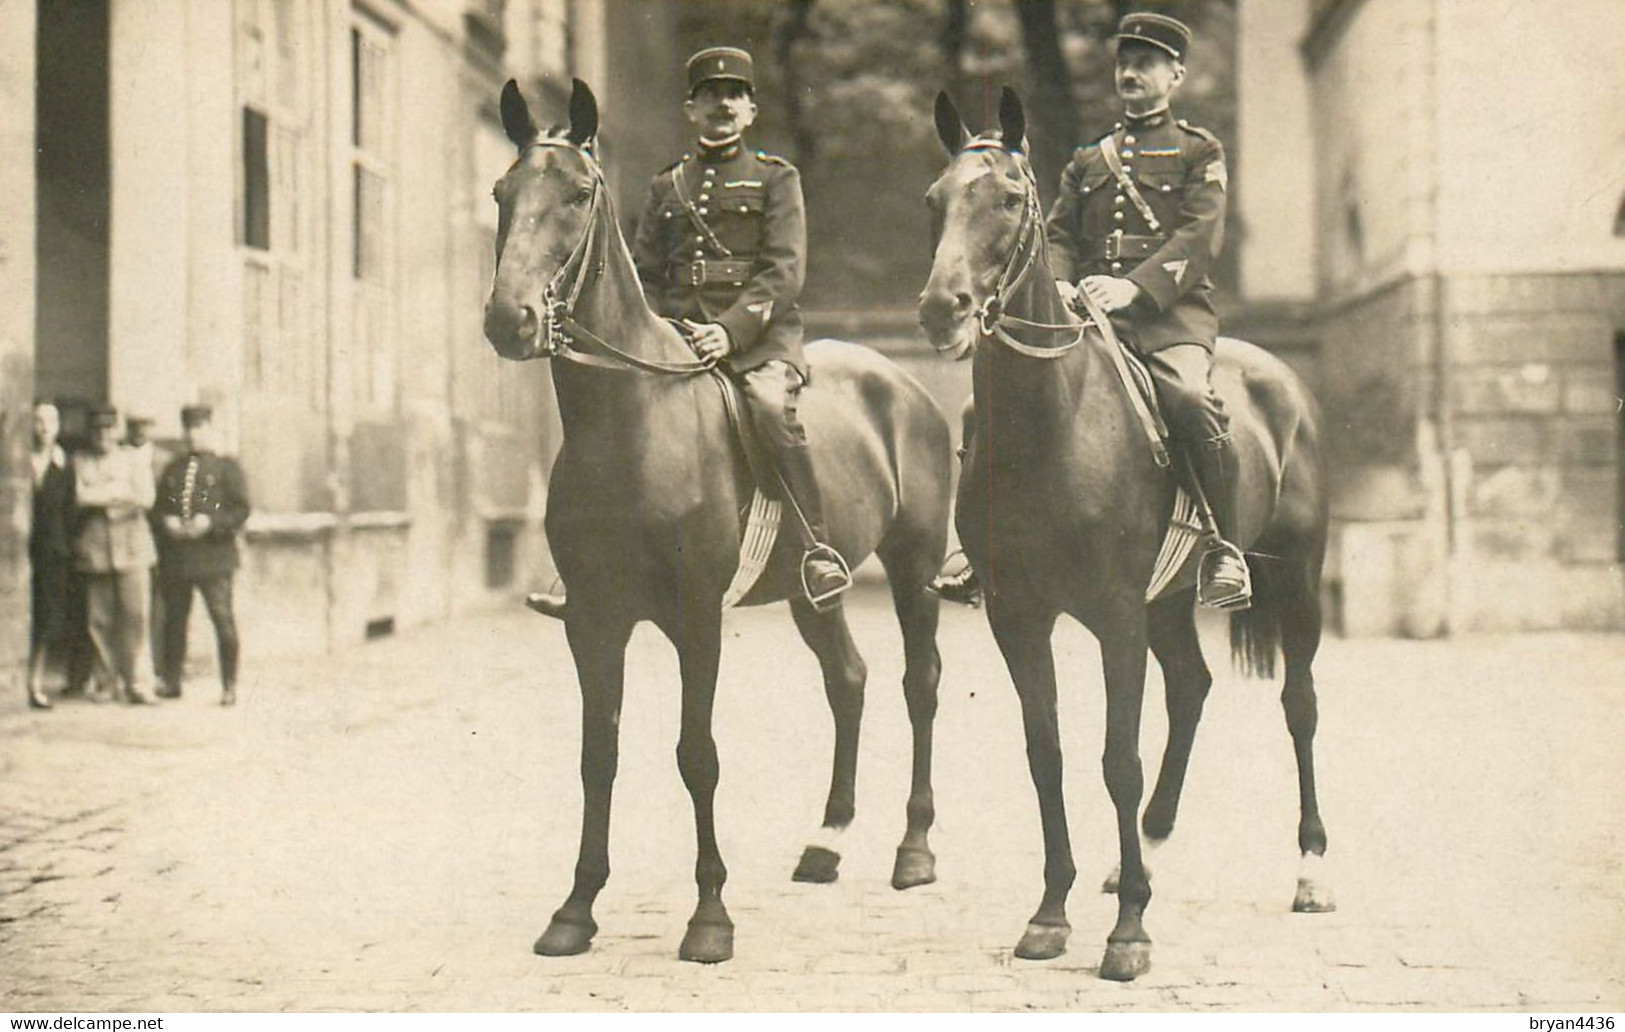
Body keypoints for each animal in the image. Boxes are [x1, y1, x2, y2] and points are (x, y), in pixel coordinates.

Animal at [474, 78, 949, 962]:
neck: (627, 421)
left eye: (579, 193)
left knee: (920, 683)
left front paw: (709, 917)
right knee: (848, 678)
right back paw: (826, 842)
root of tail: (903, 383)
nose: (508, 319)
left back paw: (913, 850)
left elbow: (696, 755)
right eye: (501, 193)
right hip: (810, 593)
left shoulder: (694, 616)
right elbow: (599, 755)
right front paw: (575, 909)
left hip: (916, 567)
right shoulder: (591, 621)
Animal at [916, 86, 1332, 975]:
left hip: (1296, 581)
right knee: (1192, 688)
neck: (1053, 422)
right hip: (1167, 602)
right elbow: (1046, 755)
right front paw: (1050, 912)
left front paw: (1129, 932)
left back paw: (1310, 868)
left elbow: (1117, 759)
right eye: (934, 199)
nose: (941, 309)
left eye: (1009, 197)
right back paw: (1144, 849)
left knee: (1299, 705)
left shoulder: (1112, 615)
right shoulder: (1020, 616)